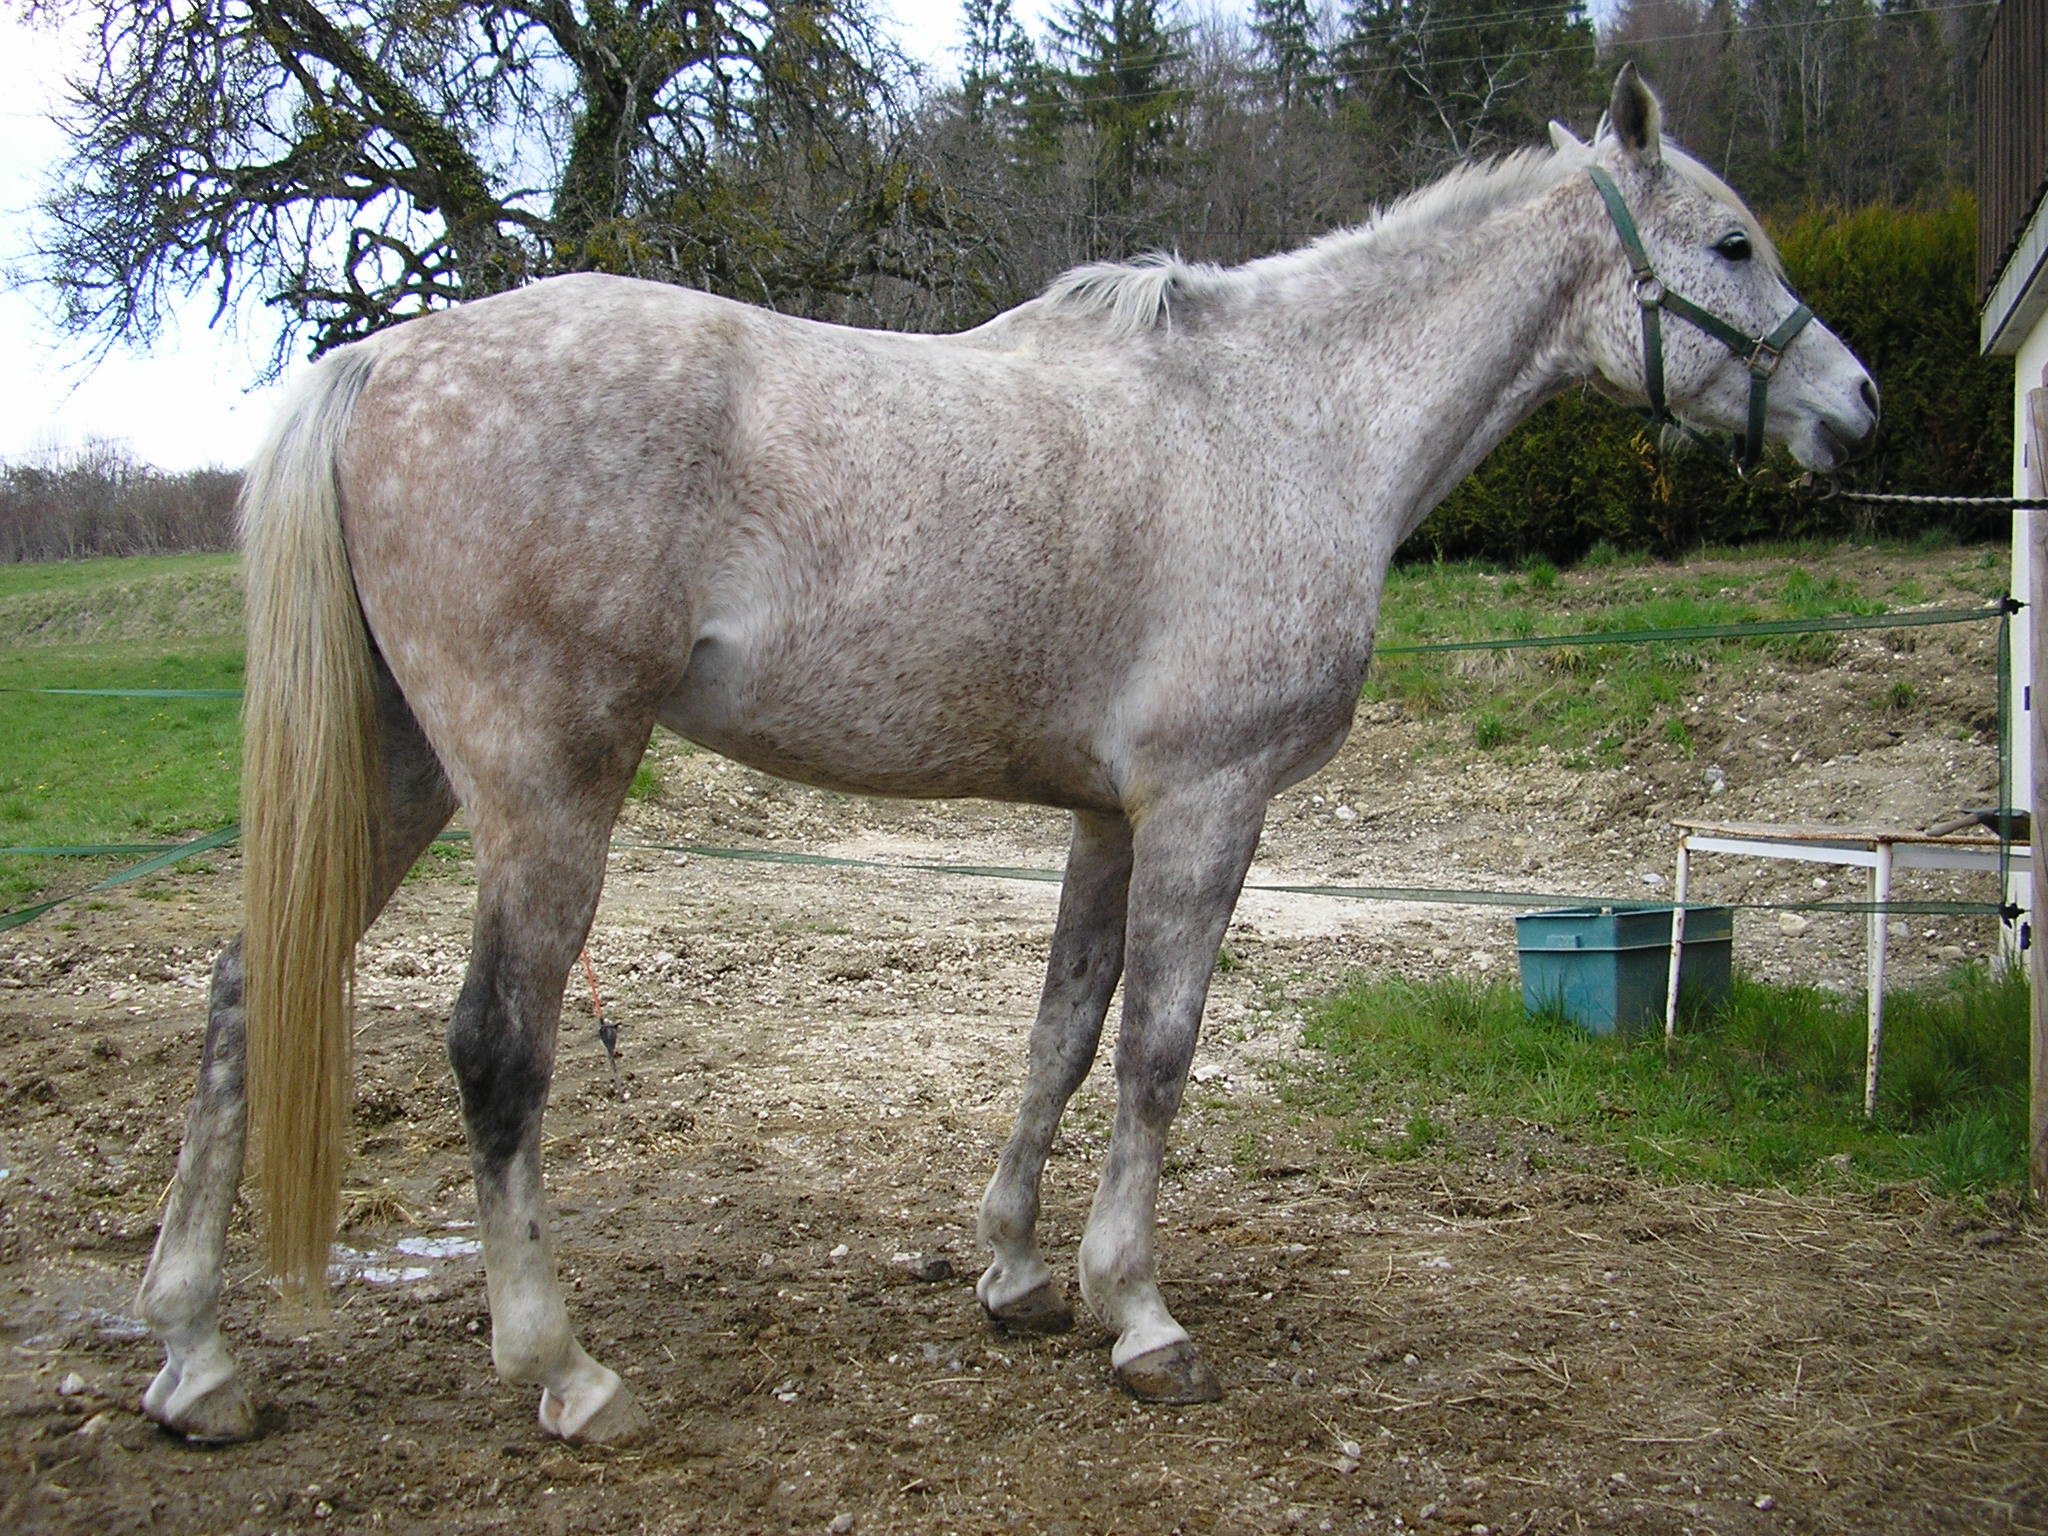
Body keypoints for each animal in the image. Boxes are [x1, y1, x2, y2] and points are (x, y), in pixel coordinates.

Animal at [136, 68, 1877, 1445]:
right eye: (1733, 245)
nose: (1857, 405)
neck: (1286, 421)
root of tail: (385, 361)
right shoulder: (1207, 802)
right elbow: (1160, 1051)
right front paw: (1143, 1316)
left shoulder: (1108, 818)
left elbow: (1062, 1033)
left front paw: (1023, 1273)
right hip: (543, 792)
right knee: (497, 1048)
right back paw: (562, 1369)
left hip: (406, 776)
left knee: (244, 991)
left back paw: (197, 1359)